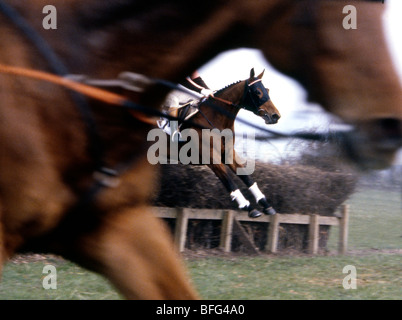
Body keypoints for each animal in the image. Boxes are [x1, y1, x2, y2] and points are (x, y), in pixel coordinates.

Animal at [0, 0, 400, 300]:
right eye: (258, 92)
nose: (274, 116)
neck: (215, 117)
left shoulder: (227, 153)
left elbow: (246, 173)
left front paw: (264, 203)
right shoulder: (207, 157)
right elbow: (228, 180)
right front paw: (246, 206)